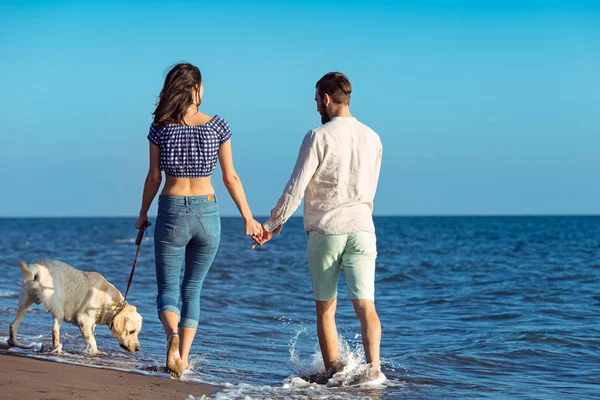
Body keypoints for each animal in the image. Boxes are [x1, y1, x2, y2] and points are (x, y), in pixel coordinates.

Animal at [8, 260, 142, 354]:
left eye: (137, 332)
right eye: (131, 331)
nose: (138, 349)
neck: (112, 305)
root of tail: (38, 268)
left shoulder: (91, 325)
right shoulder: (84, 321)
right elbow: (92, 342)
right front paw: (97, 353)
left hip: (25, 301)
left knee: (14, 324)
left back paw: (14, 343)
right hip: (58, 306)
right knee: (54, 329)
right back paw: (57, 348)